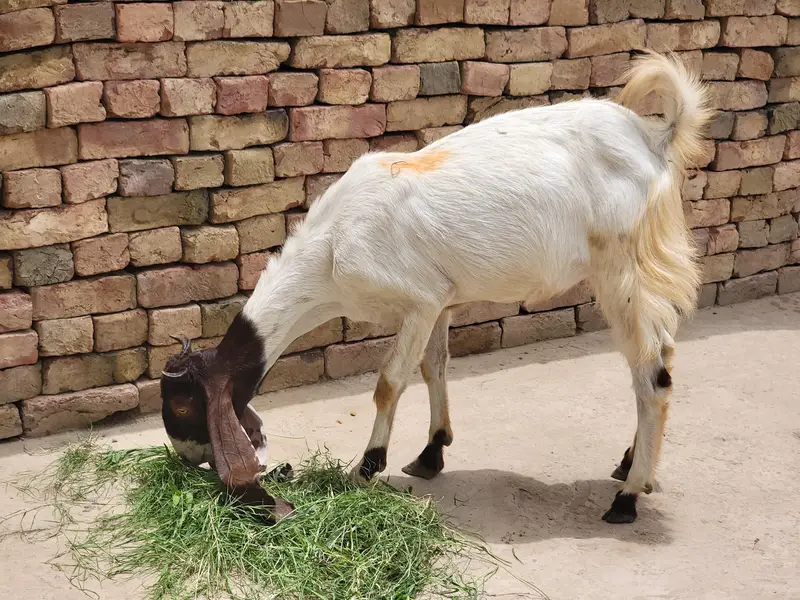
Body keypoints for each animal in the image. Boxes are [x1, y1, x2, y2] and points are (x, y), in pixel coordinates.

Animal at [160, 51, 711, 524]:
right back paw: (630, 464)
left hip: (623, 269)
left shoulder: (418, 302)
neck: (332, 246)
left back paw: (626, 498)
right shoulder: (440, 301)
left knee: (652, 376)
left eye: (184, 404)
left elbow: (388, 382)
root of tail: (653, 137)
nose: (187, 459)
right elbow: (434, 368)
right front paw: (431, 453)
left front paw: (366, 466)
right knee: (660, 354)